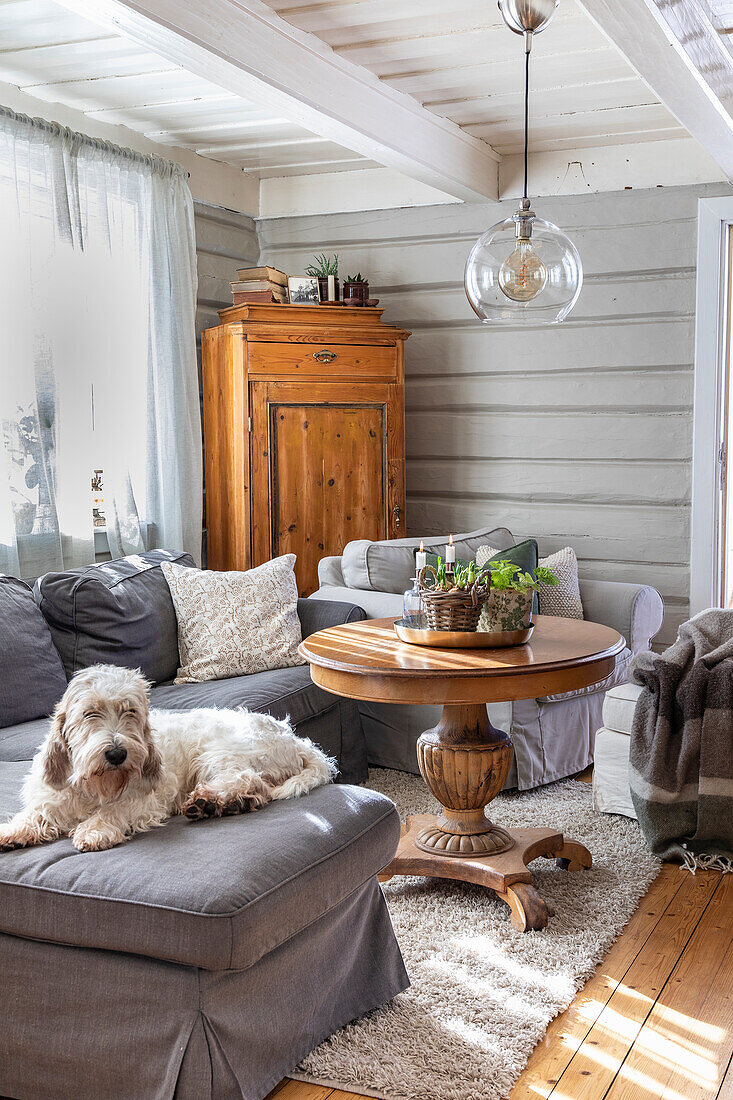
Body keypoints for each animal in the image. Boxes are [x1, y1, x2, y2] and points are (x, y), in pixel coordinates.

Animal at [0, 655, 336, 853]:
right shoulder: (53, 797)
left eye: (131, 712)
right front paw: (13, 831)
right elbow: (36, 812)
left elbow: (115, 810)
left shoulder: (147, 799)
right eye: (90, 713)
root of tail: (296, 739)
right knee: (258, 790)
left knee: (249, 779)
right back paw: (227, 805)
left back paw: (208, 801)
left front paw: (95, 830)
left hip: (218, 753)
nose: (117, 754)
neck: (97, 784)